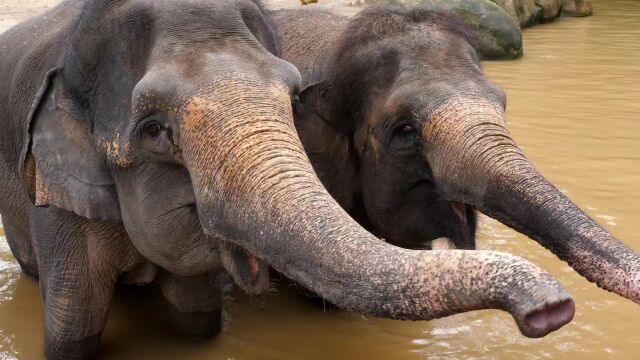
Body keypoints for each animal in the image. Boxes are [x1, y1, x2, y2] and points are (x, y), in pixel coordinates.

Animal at [0, 1, 576, 358]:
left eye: (293, 100)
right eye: (154, 130)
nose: (553, 310)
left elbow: (199, 319)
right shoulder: (53, 201)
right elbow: (73, 329)